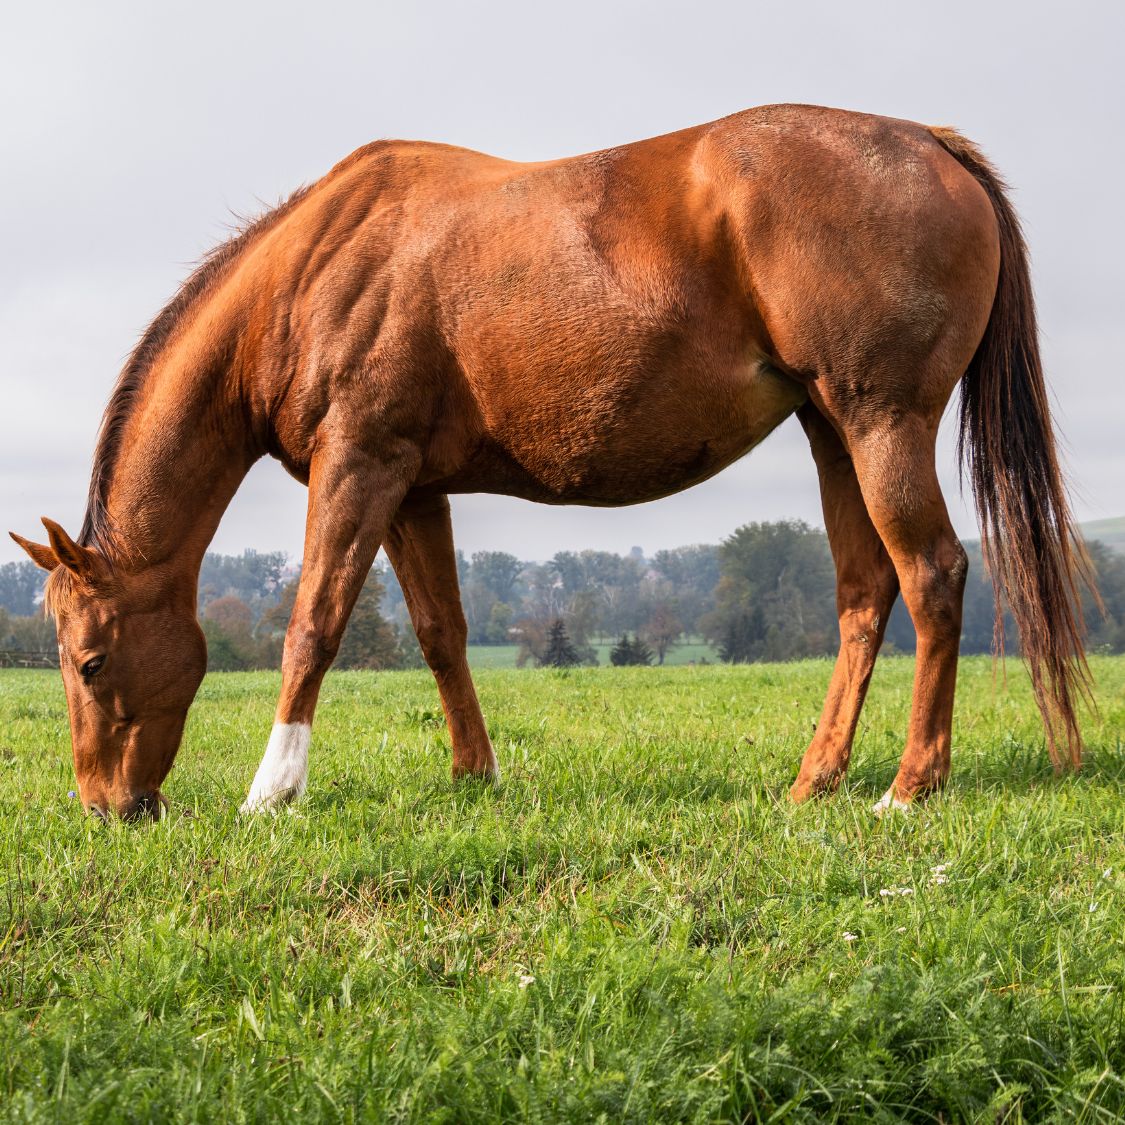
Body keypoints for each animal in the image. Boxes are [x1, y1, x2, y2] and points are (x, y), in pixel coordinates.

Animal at [8, 105, 1089, 823]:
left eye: (90, 659)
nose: (104, 805)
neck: (312, 271)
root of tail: (925, 142)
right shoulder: (412, 490)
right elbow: (442, 634)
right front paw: (473, 776)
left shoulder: (357, 469)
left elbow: (312, 625)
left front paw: (273, 790)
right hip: (833, 431)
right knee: (867, 592)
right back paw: (815, 779)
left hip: (880, 424)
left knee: (933, 574)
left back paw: (910, 787)